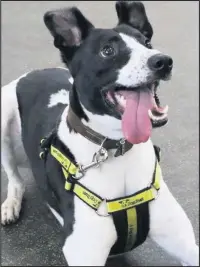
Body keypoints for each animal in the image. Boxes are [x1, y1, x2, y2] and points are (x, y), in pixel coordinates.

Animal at [1, 1, 198, 266]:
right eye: (107, 51)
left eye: (147, 42)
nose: (163, 61)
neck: (117, 150)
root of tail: (33, 72)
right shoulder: (83, 252)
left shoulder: (185, 243)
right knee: (15, 179)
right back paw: (11, 204)